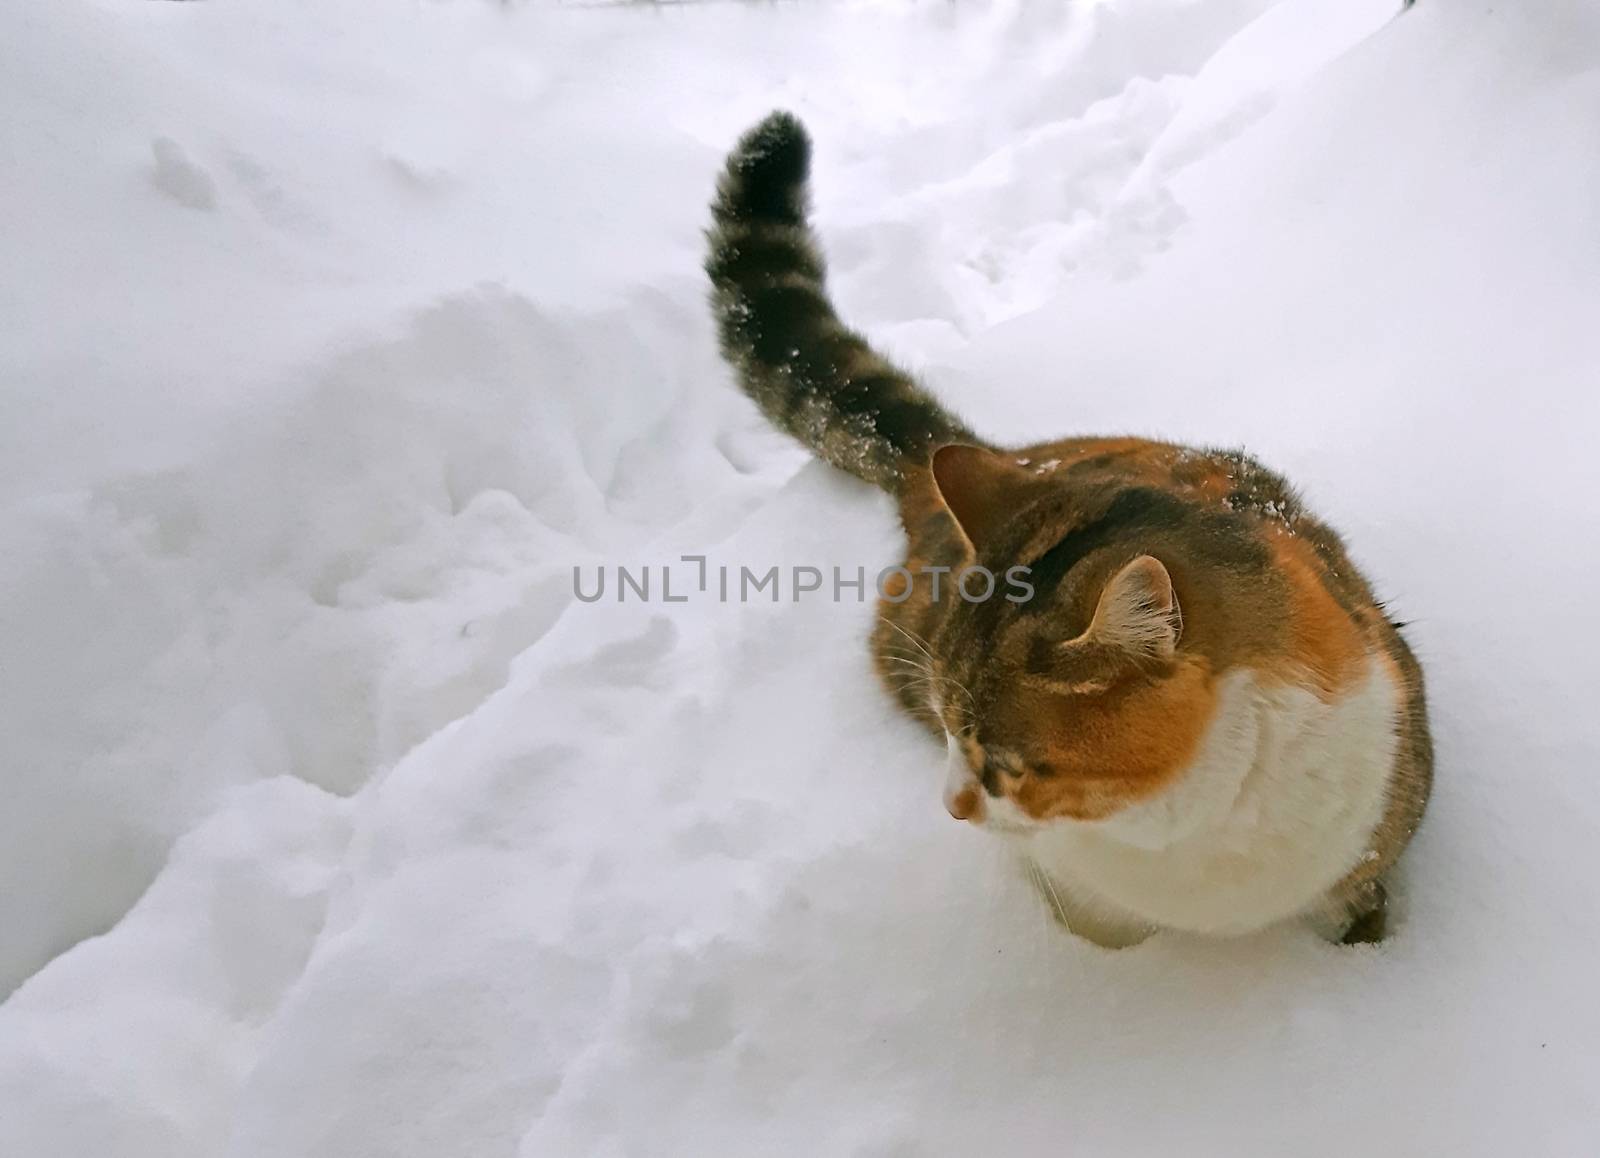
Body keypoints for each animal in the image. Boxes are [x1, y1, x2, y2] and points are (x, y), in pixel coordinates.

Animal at [707, 111, 1433, 946]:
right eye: (947, 729)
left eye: (1005, 764)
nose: (950, 806)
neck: (1179, 836)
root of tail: (1002, 457)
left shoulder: (1376, 817)